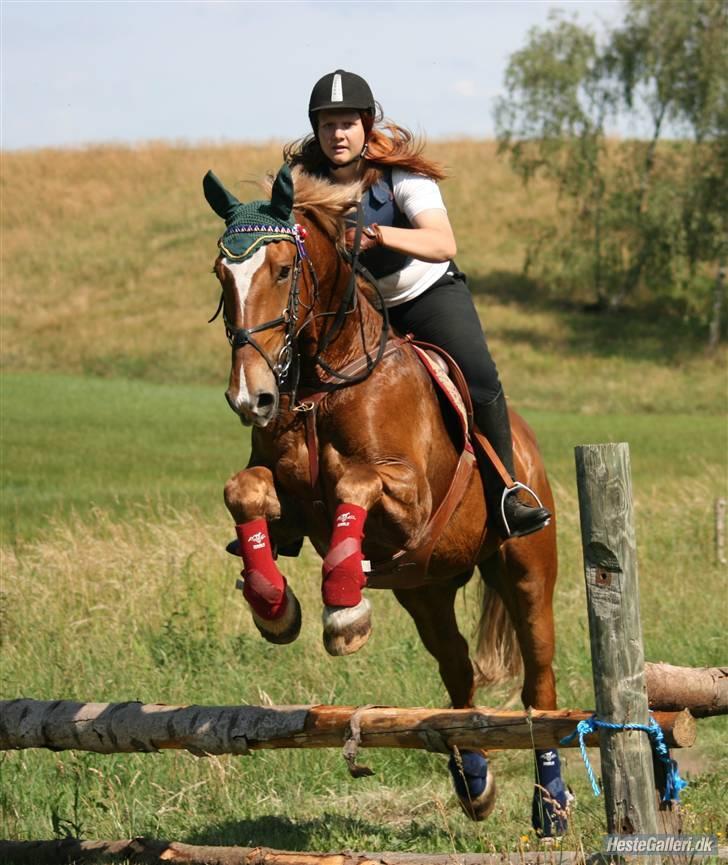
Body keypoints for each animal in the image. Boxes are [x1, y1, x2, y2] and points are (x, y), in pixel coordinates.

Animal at [202, 164, 572, 836]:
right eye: (222, 276)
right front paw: (274, 605)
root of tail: (528, 443)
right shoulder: (289, 498)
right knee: (457, 672)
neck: (326, 379)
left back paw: (551, 805)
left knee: (540, 687)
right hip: (425, 588)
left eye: (283, 270)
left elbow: (354, 481)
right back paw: (474, 782)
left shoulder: (410, 498)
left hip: (525, 568)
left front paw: (344, 607)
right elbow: (243, 492)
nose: (251, 397)